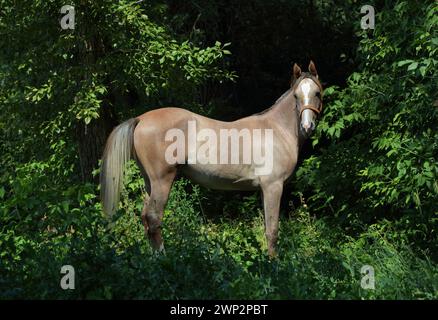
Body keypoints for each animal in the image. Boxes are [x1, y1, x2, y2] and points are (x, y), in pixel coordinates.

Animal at [101, 61, 324, 258]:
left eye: (317, 93)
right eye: (296, 95)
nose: (307, 126)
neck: (277, 129)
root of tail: (141, 119)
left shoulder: (264, 189)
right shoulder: (273, 186)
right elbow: (272, 230)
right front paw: (273, 264)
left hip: (150, 182)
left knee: (146, 219)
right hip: (162, 181)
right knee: (154, 218)